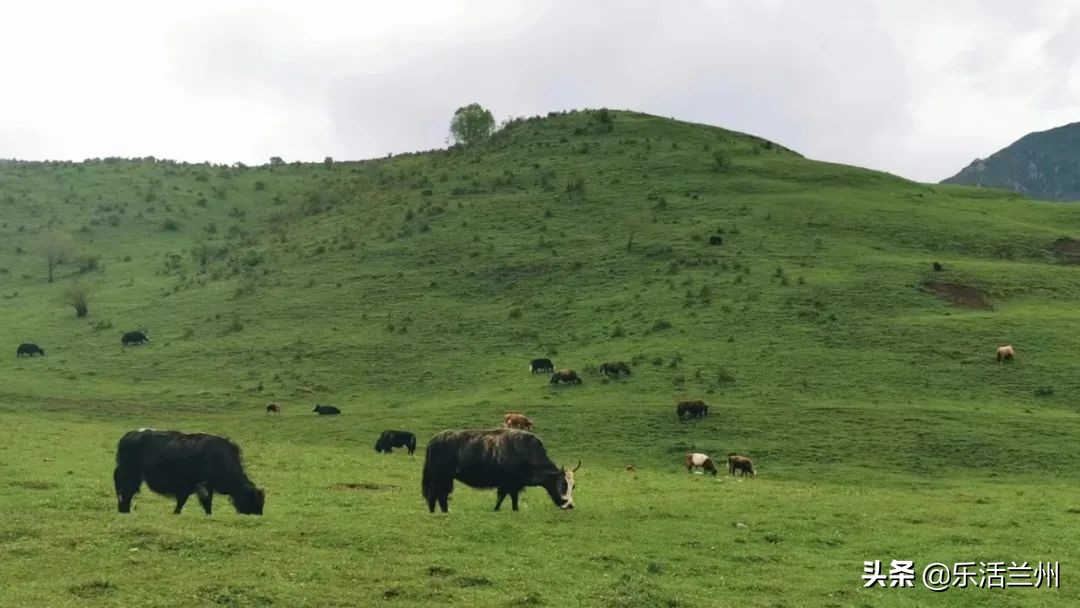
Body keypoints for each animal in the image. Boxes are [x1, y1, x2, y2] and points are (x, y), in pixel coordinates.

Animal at [112, 427, 265, 514]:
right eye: (255, 501)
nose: (259, 514)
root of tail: (127, 436)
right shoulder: (199, 485)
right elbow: (198, 502)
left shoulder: (201, 486)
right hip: (130, 476)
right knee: (125, 494)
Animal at [419, 427, 578, 514]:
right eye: (562, 484)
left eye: (574, 486)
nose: (569, 505)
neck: (526, 452)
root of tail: (432, 441)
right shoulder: (508, 483)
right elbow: (503, 497)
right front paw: (499, 509)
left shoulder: (513, 484)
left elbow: (511, 498)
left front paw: (512, 509)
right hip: (440, 477)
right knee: (435, 494)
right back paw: (436, 512)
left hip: (446, 479)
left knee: (441, 495)